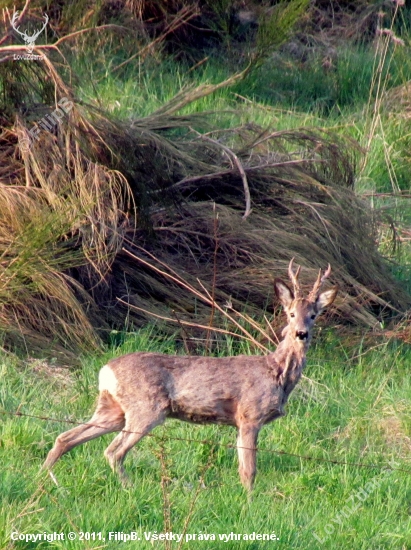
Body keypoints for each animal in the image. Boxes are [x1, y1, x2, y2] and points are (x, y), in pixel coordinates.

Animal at [42, 260, 338, 494]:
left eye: (313, 315)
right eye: (291, 313)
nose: (301, 333)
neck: (277, 373)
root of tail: (106, 370)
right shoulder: (249, 416)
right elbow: (249, 471)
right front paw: (250, 503)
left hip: (112, 409)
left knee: (66, 437)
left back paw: (45, 479)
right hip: (146, 408)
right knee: (113, 451)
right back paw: (129, 489)